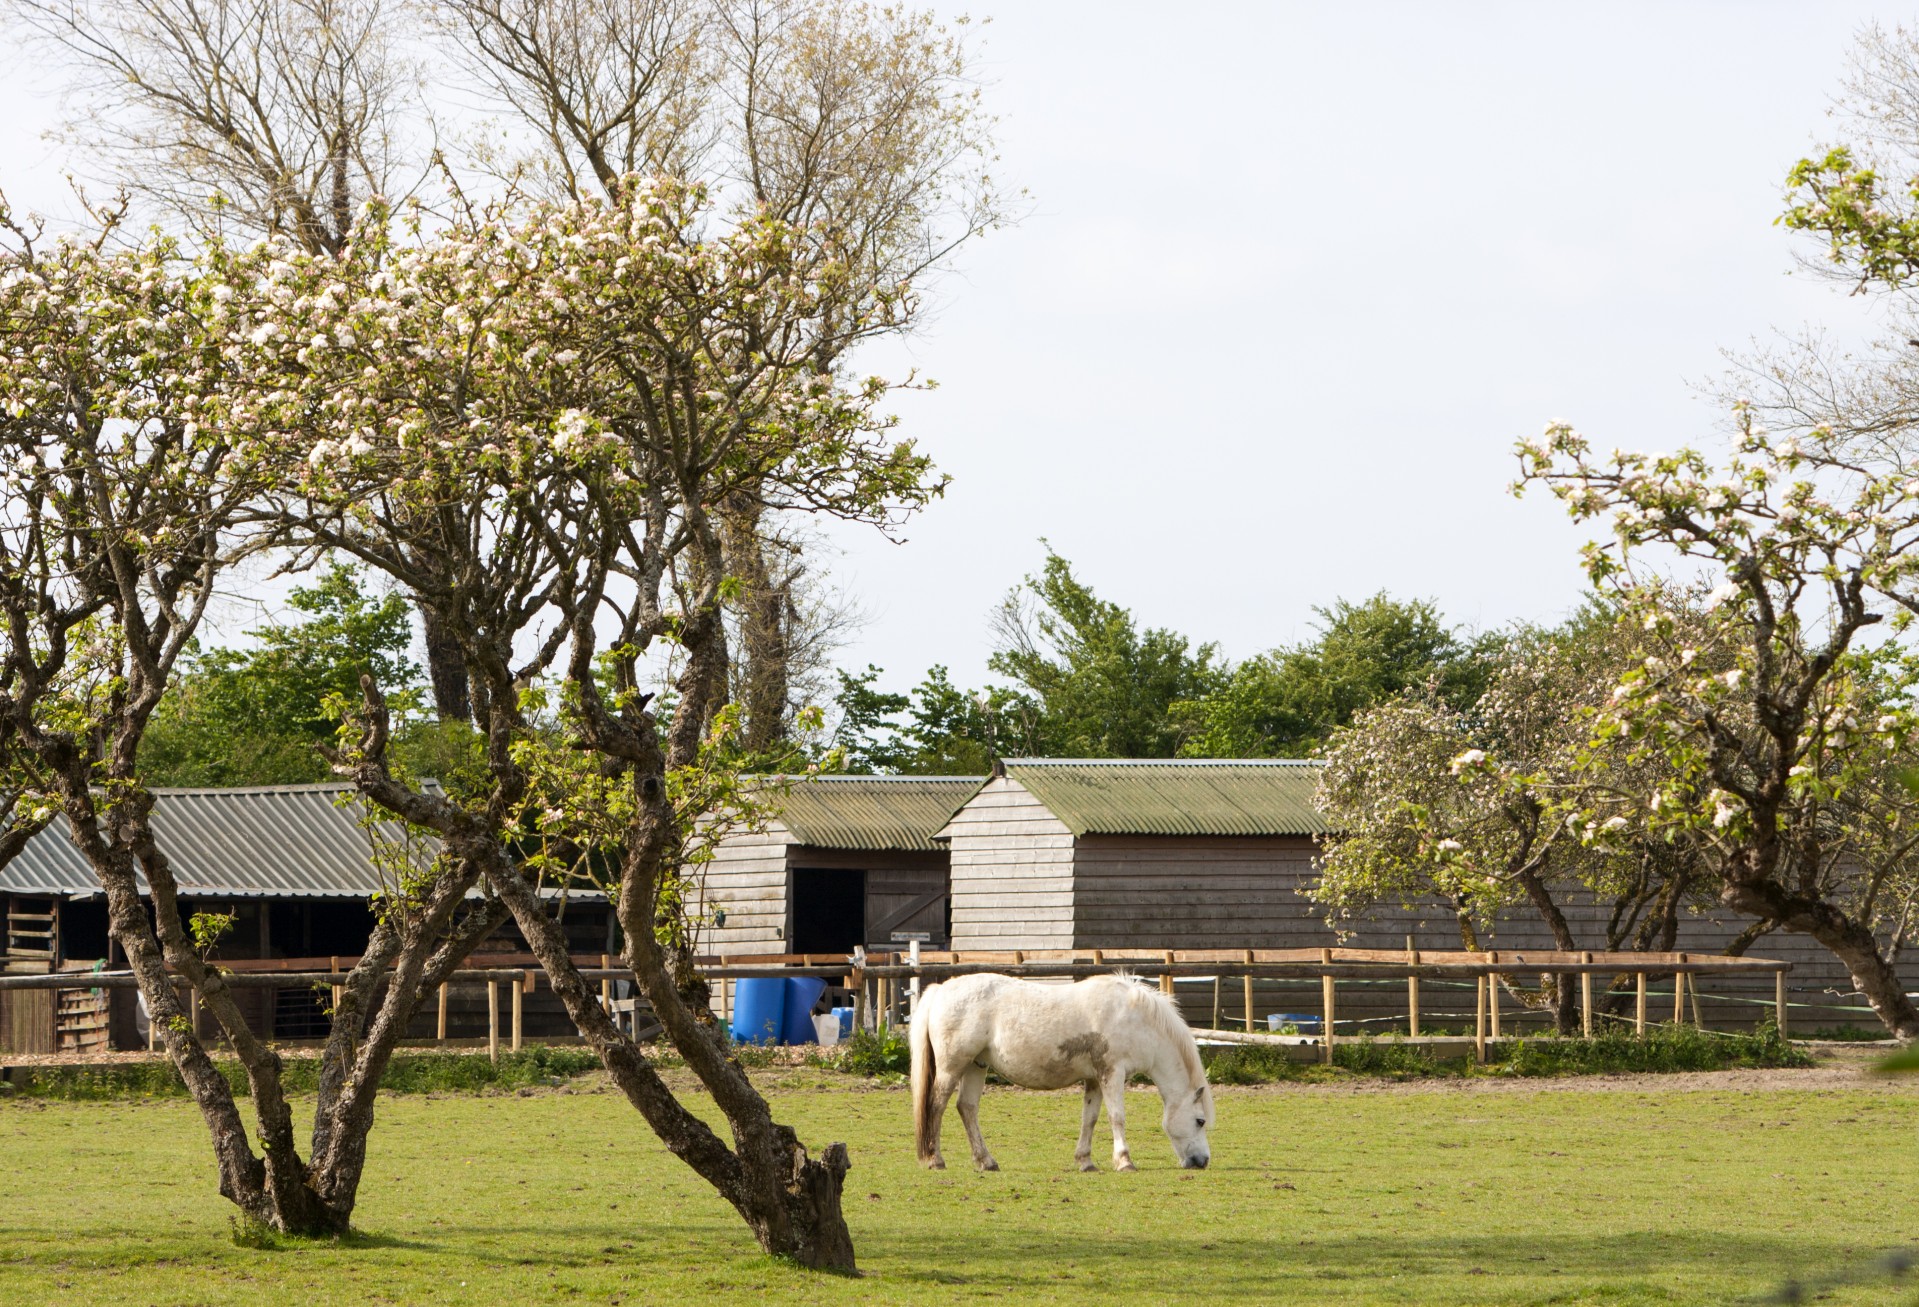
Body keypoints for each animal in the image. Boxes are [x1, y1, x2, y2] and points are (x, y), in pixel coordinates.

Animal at [909, 967, 1212, 1174]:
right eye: (1200, 1121)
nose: (1202, 1161)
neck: (1135, 1019)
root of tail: (940, 990)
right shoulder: (1112, 1073)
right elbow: (1117, 1117)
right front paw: (1124, 1161)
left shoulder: (1094, 1078)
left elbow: (1090, 1119)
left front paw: (1085, 1161)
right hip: (951, 1067)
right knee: (936, 1106)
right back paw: (935, 1159)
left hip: (976, 1065)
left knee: (967, 1108)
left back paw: (986, 1161)